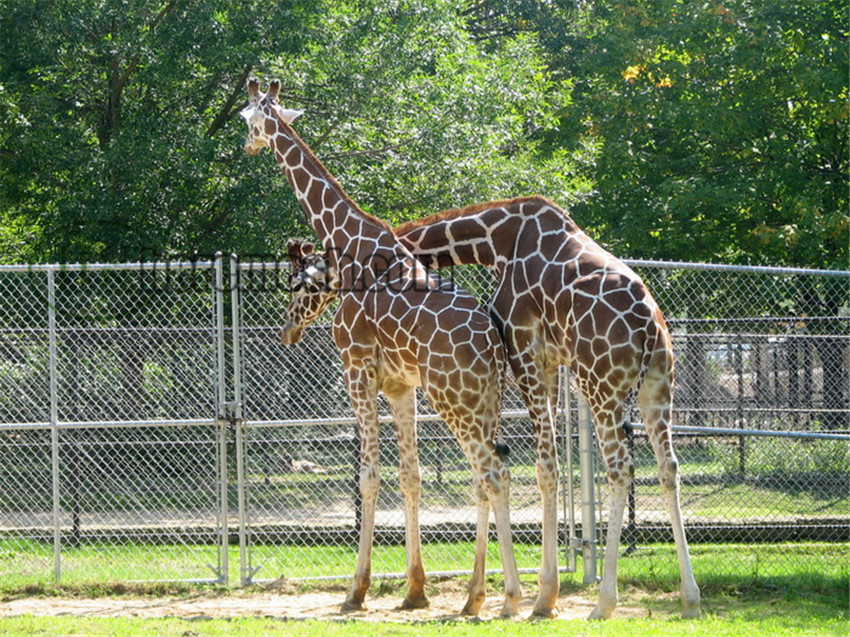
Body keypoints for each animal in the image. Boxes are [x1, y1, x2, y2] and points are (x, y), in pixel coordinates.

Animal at [237, 79, 524, 616]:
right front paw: (415, 590)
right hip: (484, 400)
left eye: (250, 118)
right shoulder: (399, 384)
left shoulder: (356, 366)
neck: (349, 240)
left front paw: (357, 590)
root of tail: (491, 345)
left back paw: (510, 598)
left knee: (493, 474)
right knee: (485, 476)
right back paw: (475, 596)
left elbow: (369, 476)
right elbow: (410, 476)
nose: (247, 146)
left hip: (453, 397)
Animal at [394, 196, 700, 620]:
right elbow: (546, 465)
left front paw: (543, 596)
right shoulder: (551, 362)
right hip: (658, 383)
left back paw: (604, 602)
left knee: (620, 468)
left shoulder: (525, 352)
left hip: (600, 384)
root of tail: (649, 326)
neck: (497, 241)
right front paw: (541, 594)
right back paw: (690, 597)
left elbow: (545, 468)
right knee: (668, 466)